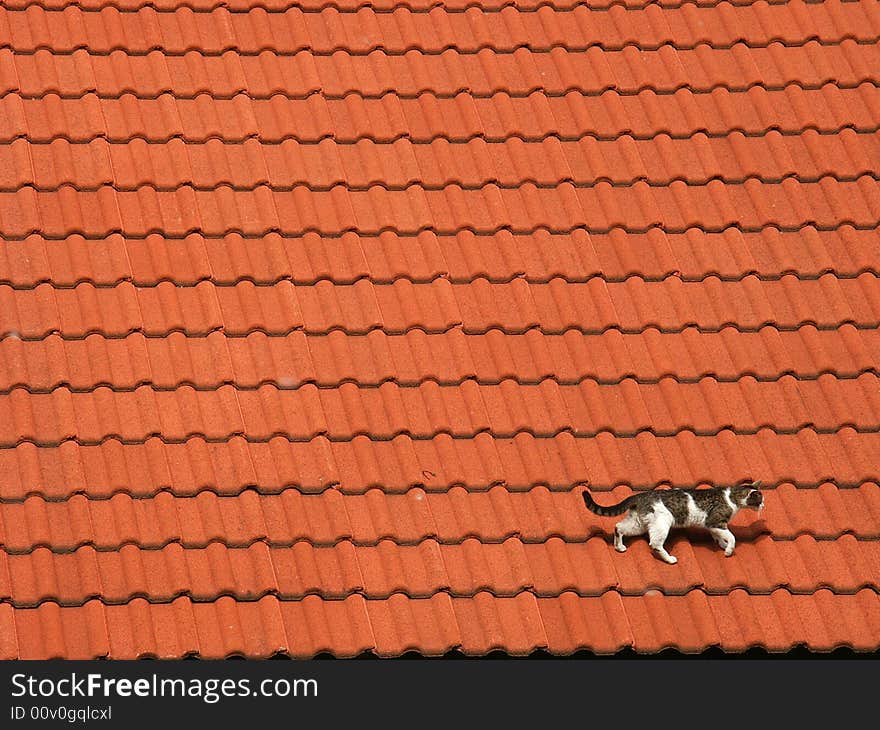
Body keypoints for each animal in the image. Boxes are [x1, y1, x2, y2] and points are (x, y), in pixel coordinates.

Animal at [576, 480, 764, 564]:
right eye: (760, 499)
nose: (764, 505)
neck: (733, 498)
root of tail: (641, 495)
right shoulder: (715, 521)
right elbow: (732, 537)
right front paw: (729, 550)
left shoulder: (712, 525)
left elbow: (719, 536)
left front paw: (722, 545)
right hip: (662, 523)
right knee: (654, 543)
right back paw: (669, 558)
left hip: (638, 523)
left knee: (618, 527)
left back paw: (619, 546)